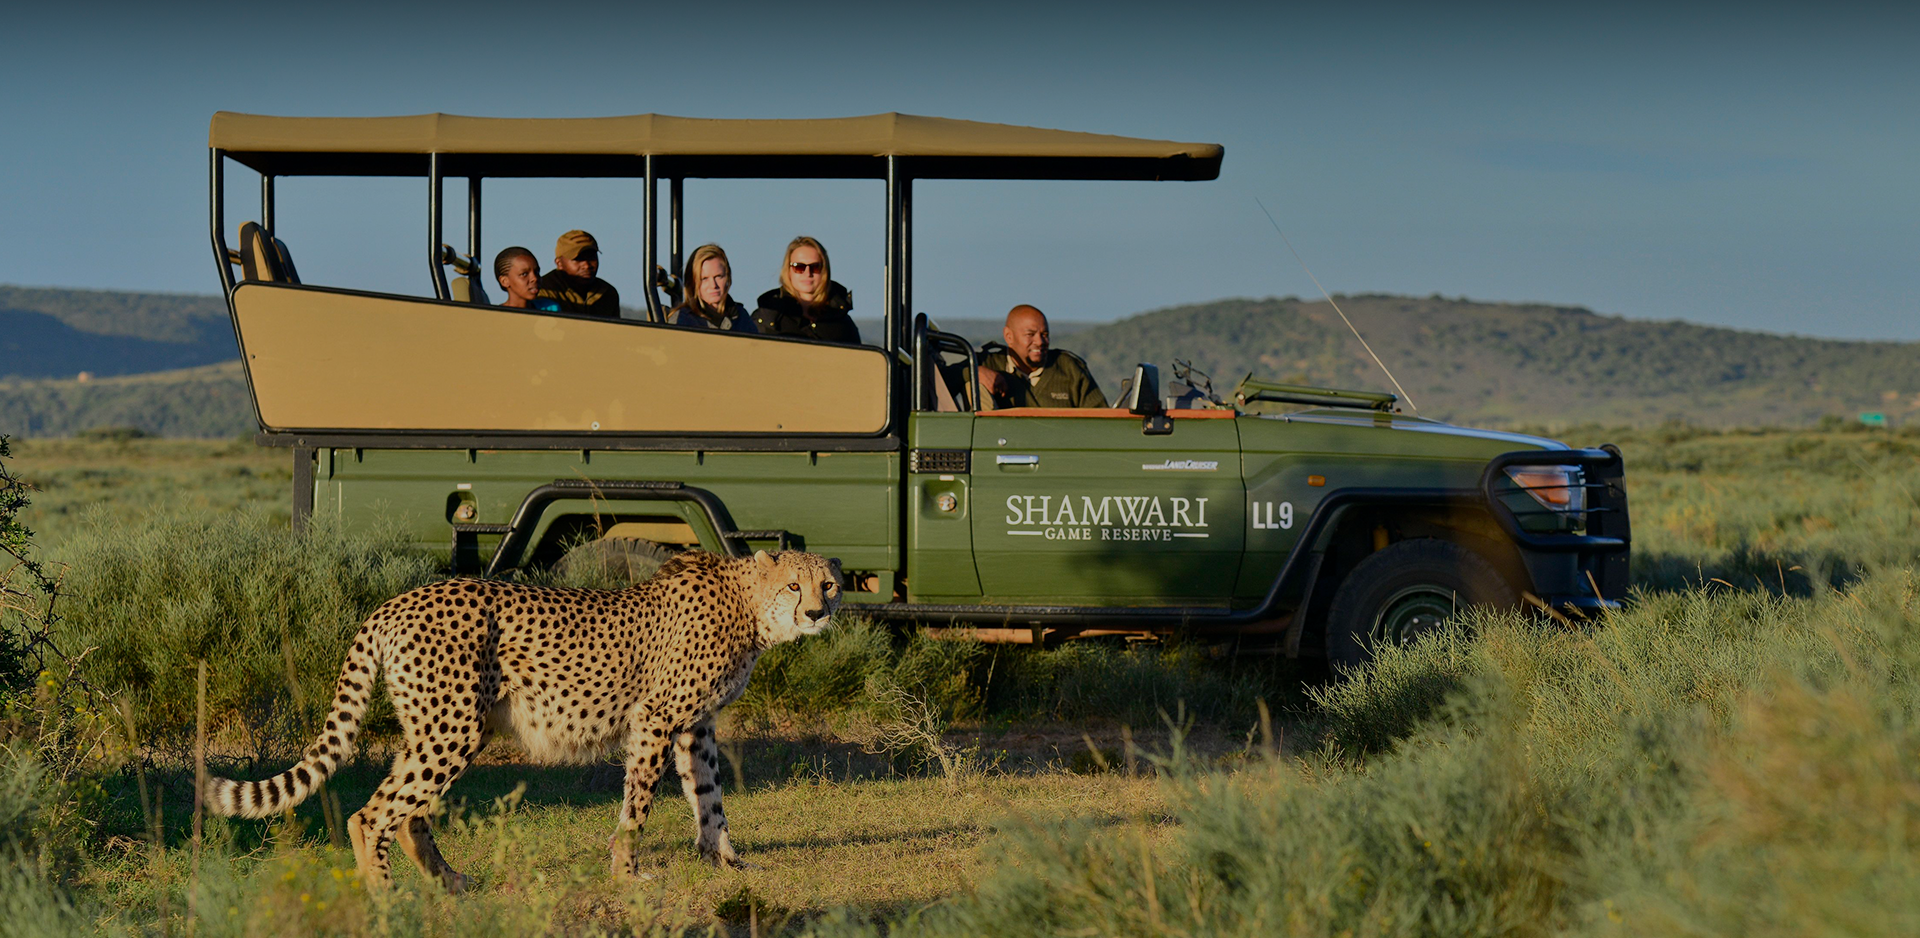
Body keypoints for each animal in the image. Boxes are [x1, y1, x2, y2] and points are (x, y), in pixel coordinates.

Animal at [202, 548, 842, 892]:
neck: (749, 606)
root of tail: (395, 600)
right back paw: (384, 896)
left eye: (828, 584)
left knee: (406, 809)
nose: (817, 612)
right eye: (794, 584)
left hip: (444, 724)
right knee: (371, 813)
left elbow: (709, 795)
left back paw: (449, 881)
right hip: (453, 726)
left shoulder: (696, 724)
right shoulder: (657, 718)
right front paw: (627, 871)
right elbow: (638, 803)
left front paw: (725, 858)